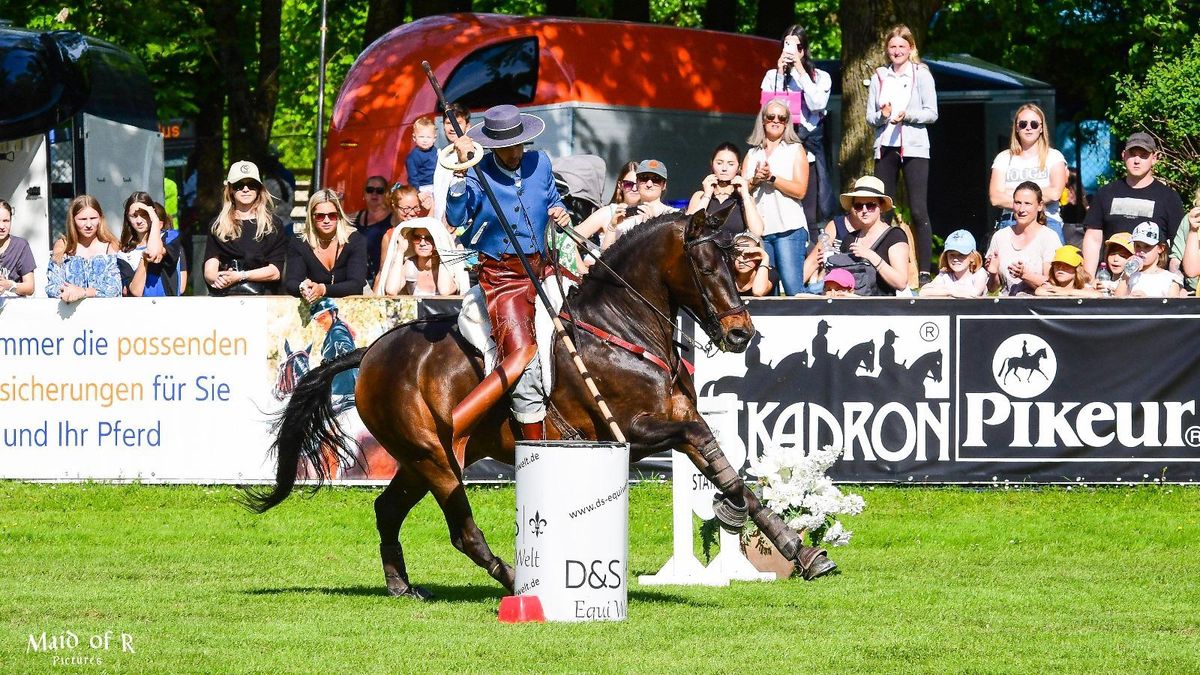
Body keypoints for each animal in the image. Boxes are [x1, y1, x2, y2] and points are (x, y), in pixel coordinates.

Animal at [248, 207, 835, 595]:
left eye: (738, 265)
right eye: (707, 268)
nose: (741, 334)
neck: (621, 328)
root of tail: (370, 353)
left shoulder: (678, 417)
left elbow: (727, 468)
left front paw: (801, 551)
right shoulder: (632, 431)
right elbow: (710, 456)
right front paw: (740, 516)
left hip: (416, 461)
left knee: (386, 510)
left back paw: (400, 586)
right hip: (434, 458)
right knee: (462, 530)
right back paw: (516, 581)